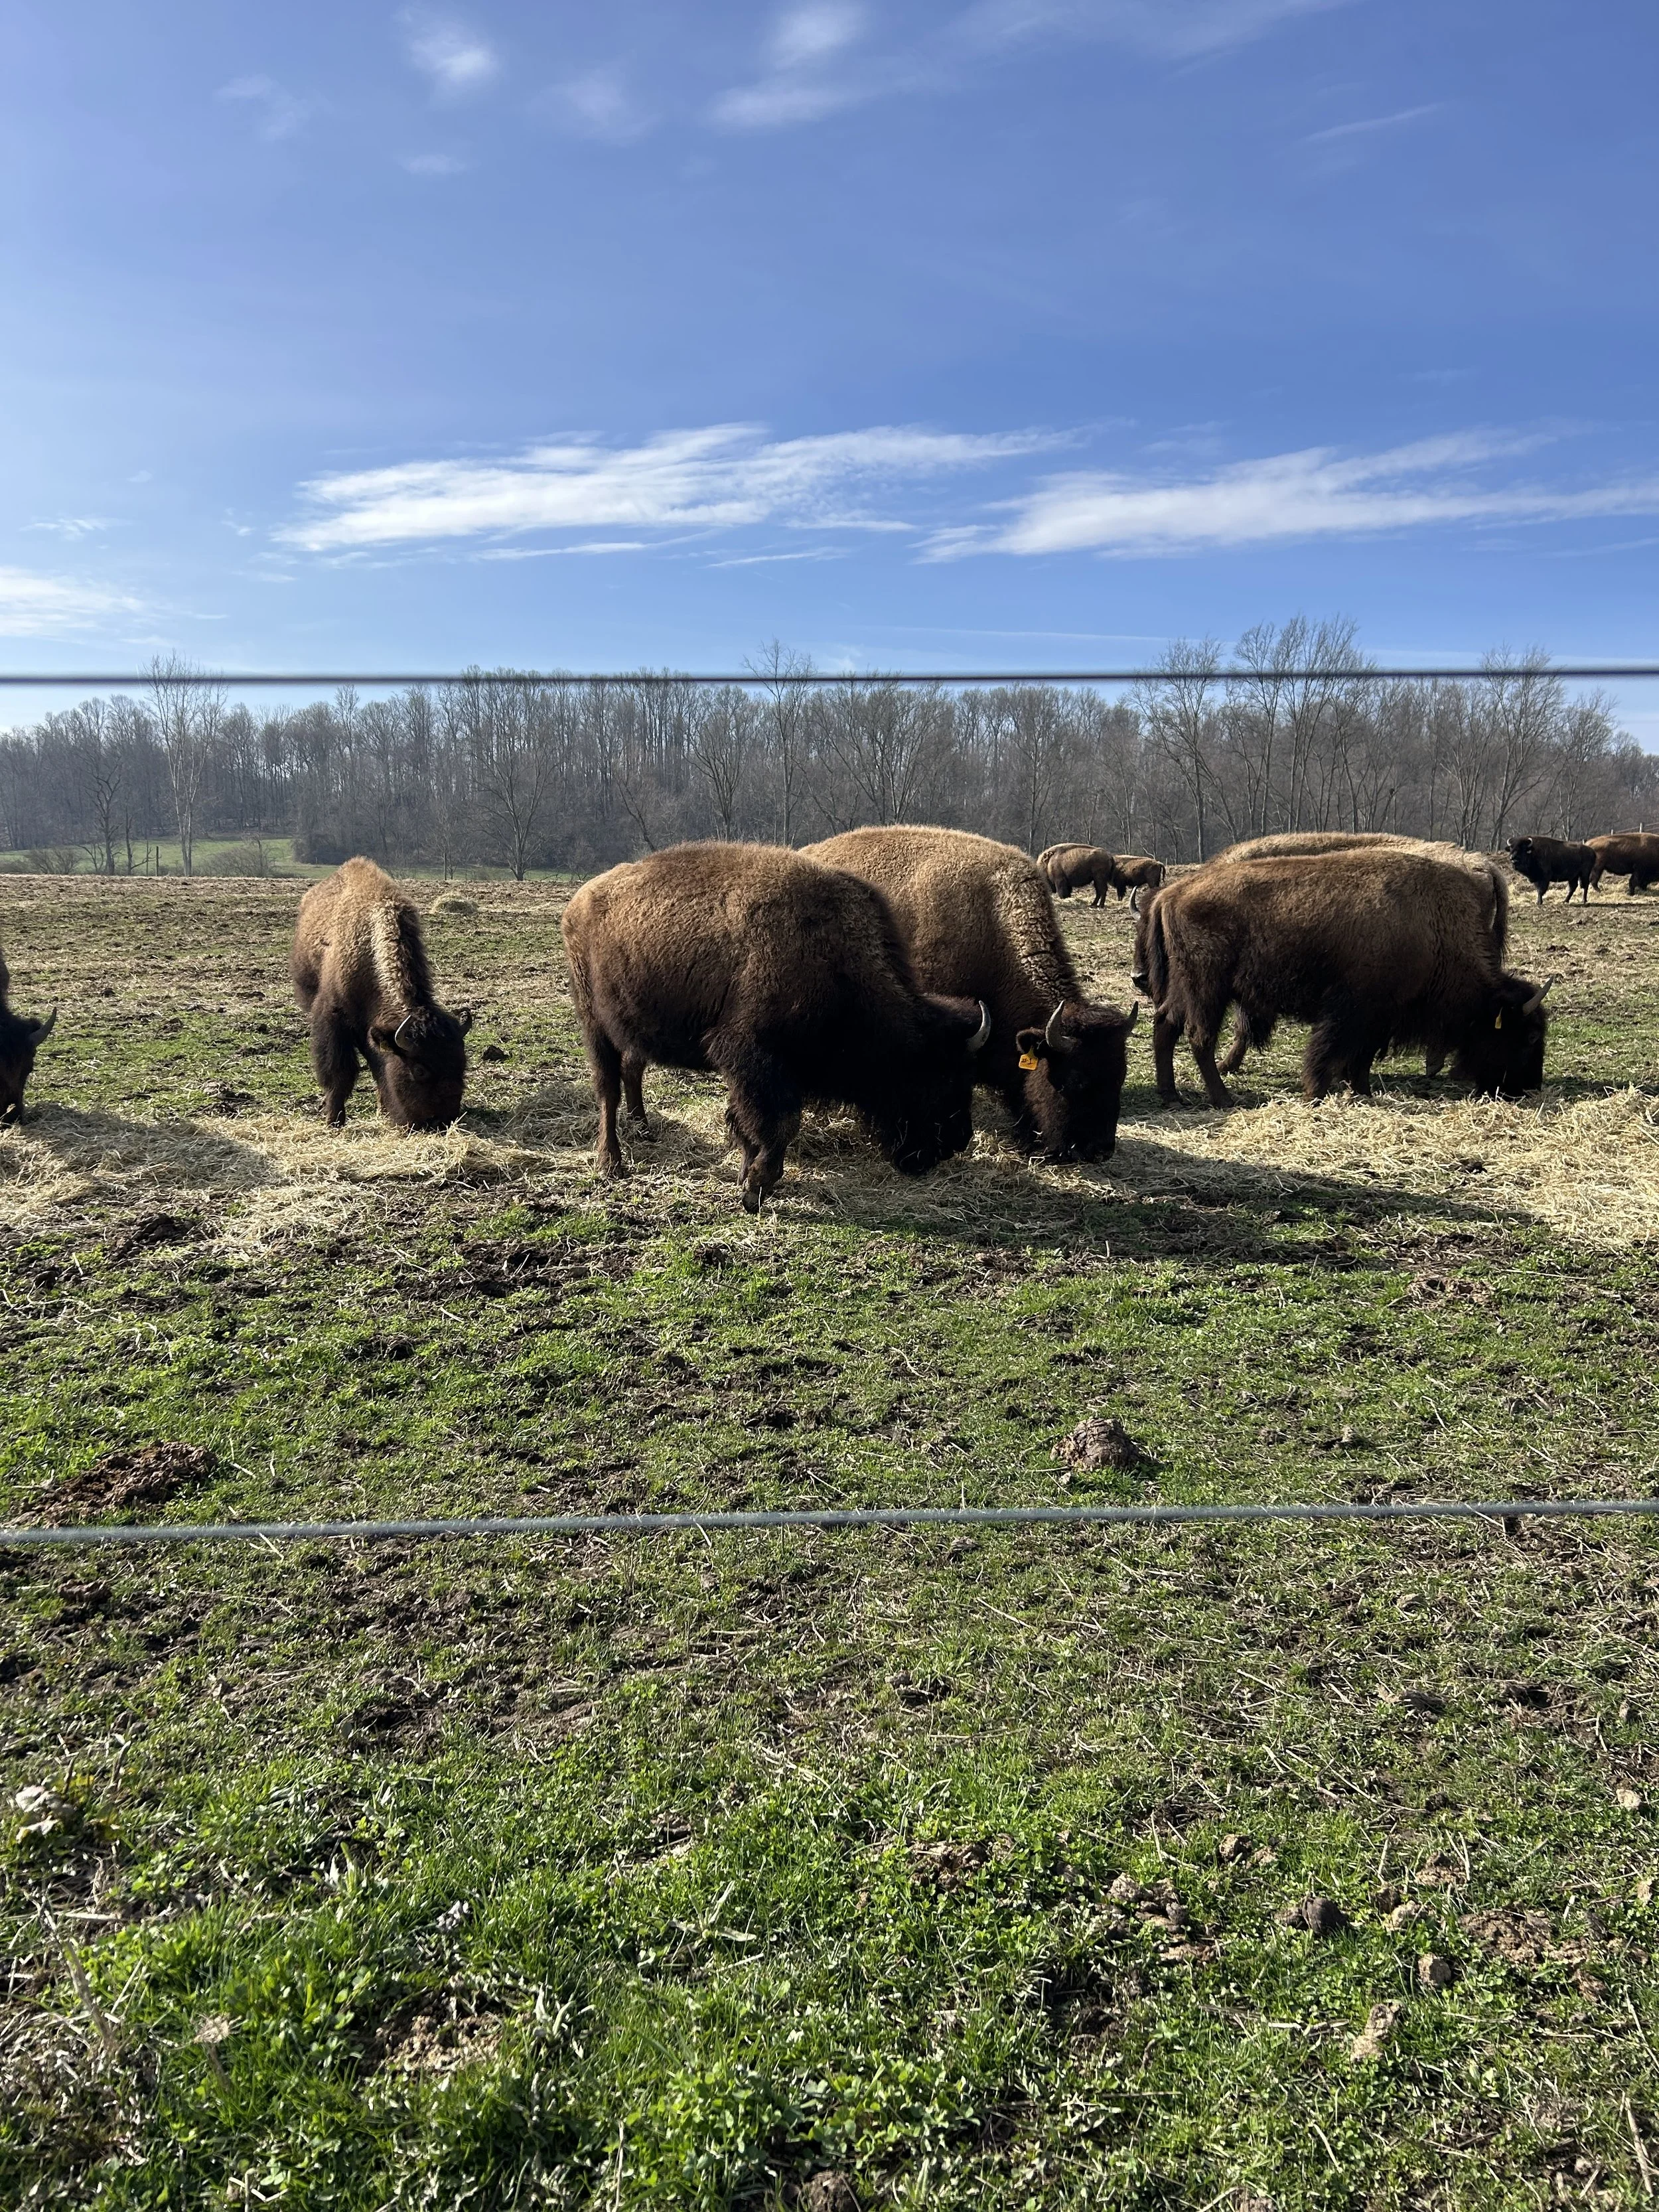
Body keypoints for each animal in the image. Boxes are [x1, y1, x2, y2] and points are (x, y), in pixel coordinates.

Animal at [292, 857, 472, 1128]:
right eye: (420, 1070)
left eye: (462, 1063)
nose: (441, 1122)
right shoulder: (334, 1018)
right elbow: (340, 1072)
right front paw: (334, 1120)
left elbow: (379, 1068)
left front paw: (383, 1110)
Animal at [560, 841, 990, 1212]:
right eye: (941, 1077)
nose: (958, 1141)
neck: (838, 965)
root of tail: (578, 902)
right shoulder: (755, 1059)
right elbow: (779, 1124)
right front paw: (755, 1189)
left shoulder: (754, 1070)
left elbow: (747, 1123)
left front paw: (744, 1176)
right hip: (594, 1021)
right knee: (607, 1089)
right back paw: (611, 1163)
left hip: (633, 1027)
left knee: (631, 1071)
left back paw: (643, 1128)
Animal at [1132, 845, 1551, 1106]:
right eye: (1529, 1036)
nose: (1526, 1088)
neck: (1433, 927)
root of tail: (1171, 894)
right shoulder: (1351, 1010)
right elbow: (1329, 1051)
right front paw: (1316, 1093)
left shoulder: (1381, 1016)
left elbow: (1360, 1058)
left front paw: (1361, 1093)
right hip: (1208, 989)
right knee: (1199, 1037)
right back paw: (1223, 1099)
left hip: (1185, 989)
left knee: (1166, 1026)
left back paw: (1171, 1095)